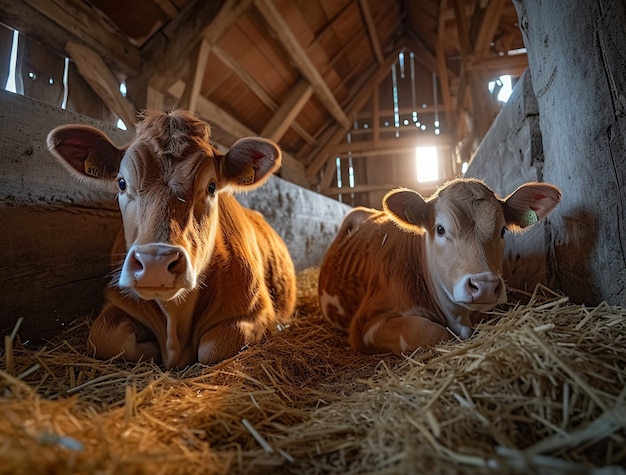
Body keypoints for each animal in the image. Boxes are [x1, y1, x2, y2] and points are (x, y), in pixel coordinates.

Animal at [47, 109, 296, 370]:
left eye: (212, 186)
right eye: (122, 183)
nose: (155, 264)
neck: (176, 318)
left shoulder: (259, 314)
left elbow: (213, 347)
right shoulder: (115, 303)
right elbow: (105, 337)